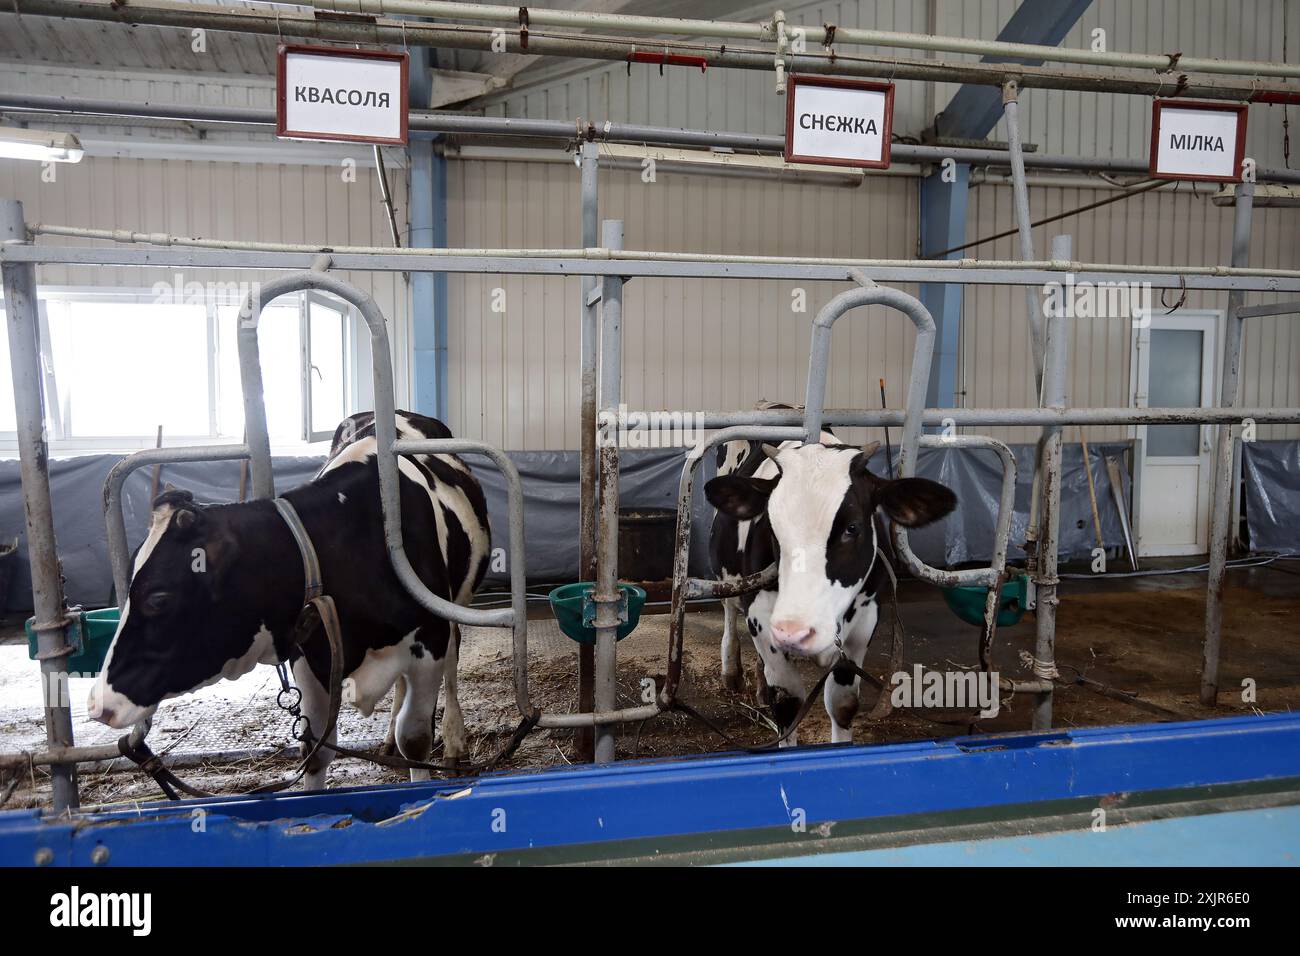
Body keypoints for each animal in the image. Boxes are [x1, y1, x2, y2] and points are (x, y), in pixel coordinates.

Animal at [87, 408, 491, 790]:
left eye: (159, 599)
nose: (98, 704)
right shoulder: (310, 655)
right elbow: (316, 748)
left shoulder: (429, 641)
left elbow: (417, 739)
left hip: (455, 606)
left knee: (452, 664)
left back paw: (454, 743)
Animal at [712, 437, 956, 743]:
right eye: (772, 528)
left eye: (852, 527)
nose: (795, 632)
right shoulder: (763, 621)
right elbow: (788, 706)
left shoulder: (864, 623)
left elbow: (842, 704)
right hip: (727, 579)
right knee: (729, 613)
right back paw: (731, 671)